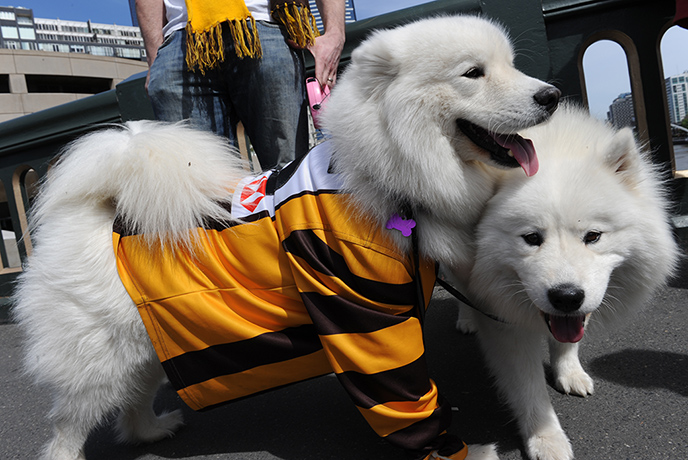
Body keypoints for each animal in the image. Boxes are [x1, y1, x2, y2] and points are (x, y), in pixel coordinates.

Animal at [12, 15, 560, 460]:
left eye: (512, 66)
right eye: (473, 73)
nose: (551, 96)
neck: (387, 175)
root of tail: (97, 208)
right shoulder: (362, 314)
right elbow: (404, 394)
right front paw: (456, 450)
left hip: (150, 341)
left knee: (131, 403)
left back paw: (152, 431)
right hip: (102, 357)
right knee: (68, 427)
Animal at [456, 104, 676, 460]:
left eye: (593, 236)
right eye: (531, 238)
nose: (567, 296)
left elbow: (567, 342)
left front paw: (568, 372)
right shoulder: (503, 323)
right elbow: (529, 389)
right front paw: (546, 439)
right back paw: (466, 319)